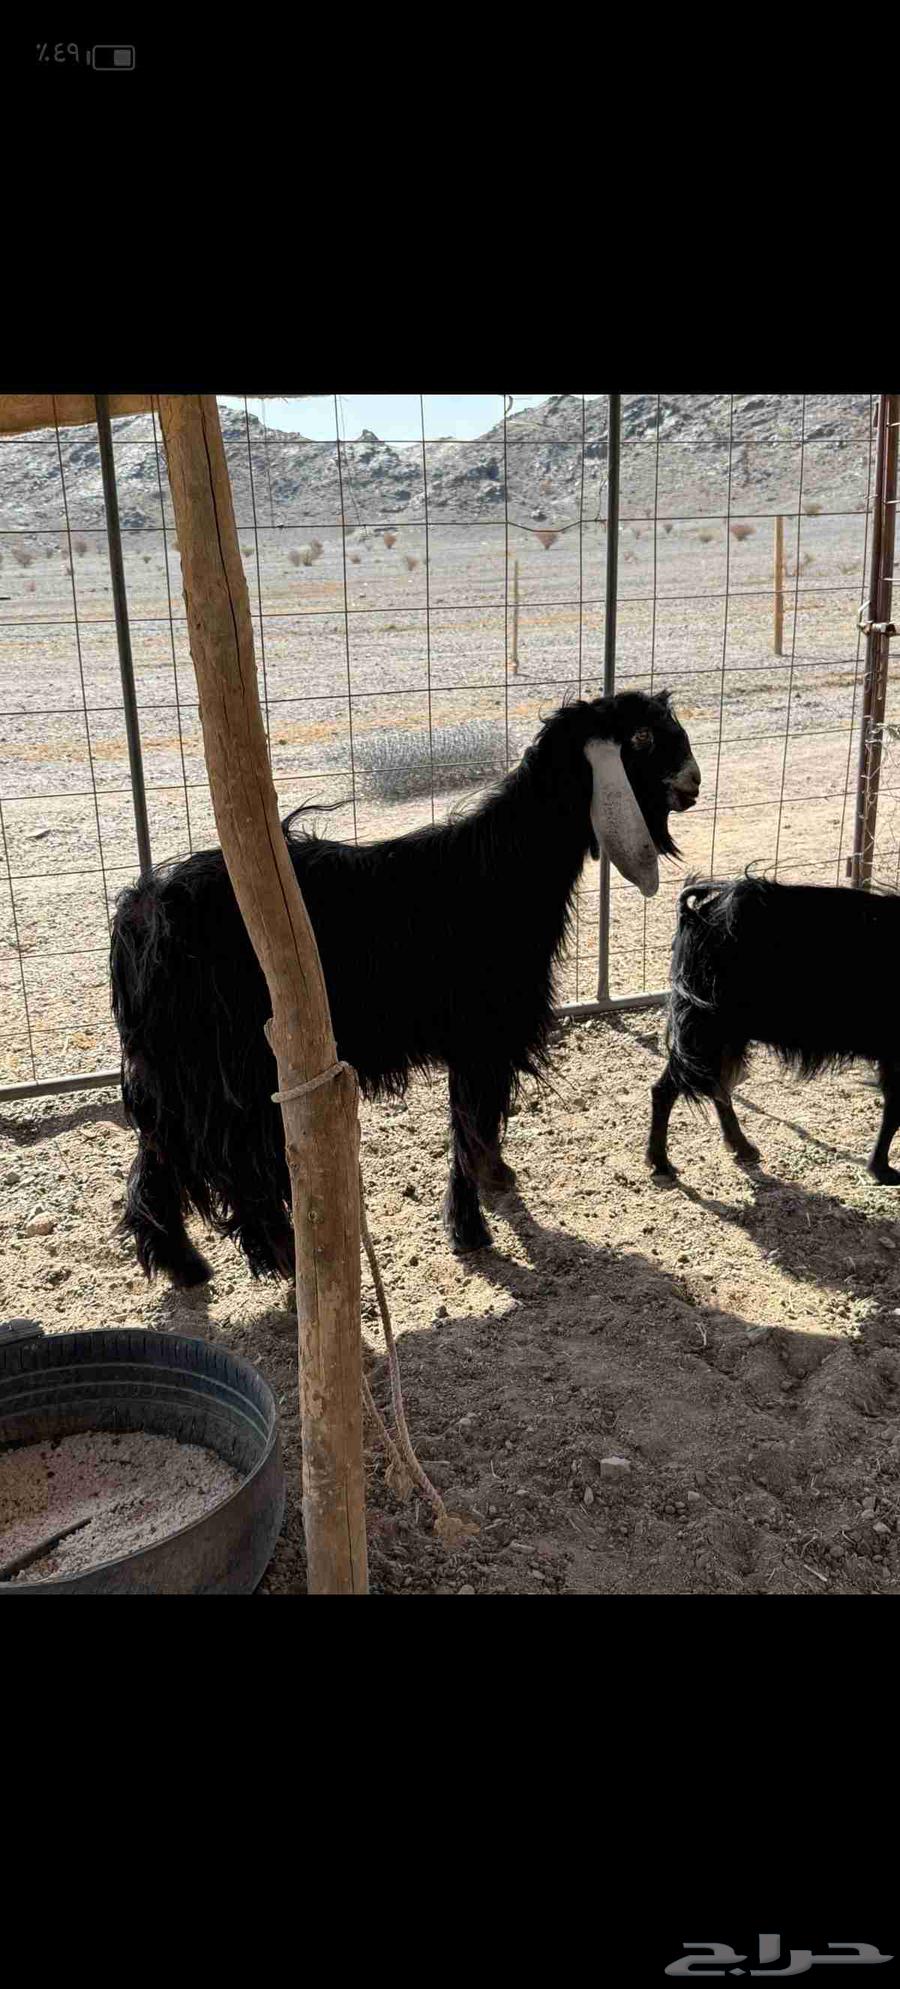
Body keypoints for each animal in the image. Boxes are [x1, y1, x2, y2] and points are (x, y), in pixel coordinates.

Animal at [111, 690, 700, 1286]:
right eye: (642, 738)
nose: (693, 783)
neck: (505, 870)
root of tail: (143, 911)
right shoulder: (480, 1034)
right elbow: (468, 1127)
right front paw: (468, 1229)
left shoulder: (492, 1041)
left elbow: (484, 1121)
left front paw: (497, 1180)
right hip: (226, 1070)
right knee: (235, 1167)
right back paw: (280, 1256)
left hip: (177, 1072)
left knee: (159, 1152)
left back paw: (183, 1262)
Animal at [647, 875, 900, 1185]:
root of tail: (697, 913)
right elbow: (895, 1110)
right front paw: (881, 1169)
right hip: (706, 1031)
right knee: (666, 1089)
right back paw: (661, 1163)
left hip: (725, 1036)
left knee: (716, 1086)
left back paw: (741, 1147)